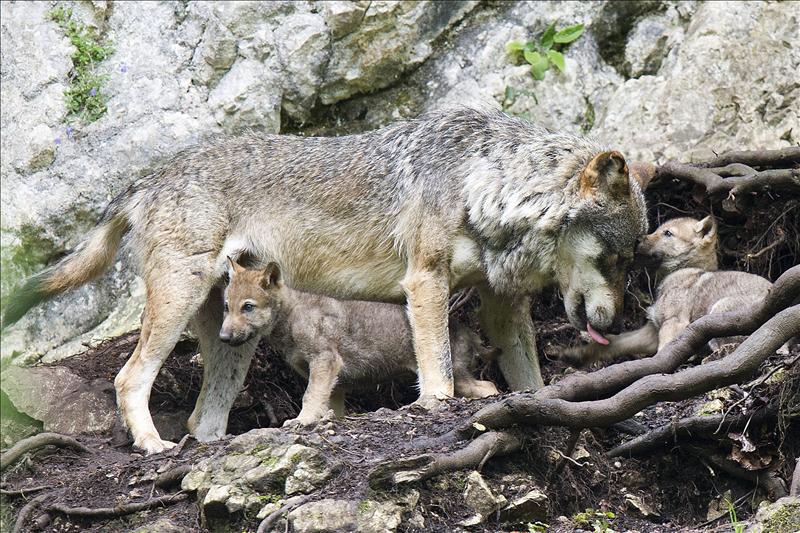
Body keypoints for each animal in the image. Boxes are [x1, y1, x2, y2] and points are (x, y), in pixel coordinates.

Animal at [220, 258, 498, 425]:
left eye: (248, 307)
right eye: (226, 306)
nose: (223, 337)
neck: (291, 317)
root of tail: (468, 331)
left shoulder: (325, 361)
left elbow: (309, 397)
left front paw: (302, 420)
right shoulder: (333, 380)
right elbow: (329, 406)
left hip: (457, 377)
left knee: (490, 387)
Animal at [558, 215, 774, 366]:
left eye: (668, 233)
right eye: (658, 229)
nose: (636, 240)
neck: (678, 272)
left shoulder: (674, 323)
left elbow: (662, 353)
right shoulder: (651, 332)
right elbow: (613, 342)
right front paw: (575, 355)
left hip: (719, 310)